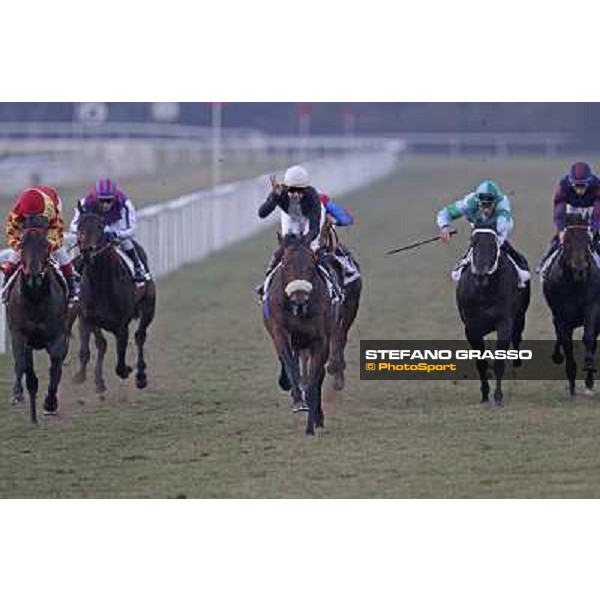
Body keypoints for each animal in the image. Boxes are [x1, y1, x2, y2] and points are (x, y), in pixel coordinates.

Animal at [4, 223, 69, 424]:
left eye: (45, 245)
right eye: (22, 244)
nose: (34, 274)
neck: (35, 299)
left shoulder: (58, 336)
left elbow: (55, 366)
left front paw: (50, 403)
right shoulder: (19, 334)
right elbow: (21, 364)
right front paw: (17, 394)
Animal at [72, 211, 156, 394]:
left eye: (100, 227)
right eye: (80, 226)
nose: (87, 251)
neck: (100, 283)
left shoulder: (121, 324)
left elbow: (120, 360)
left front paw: (127, 370)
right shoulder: (87, 317)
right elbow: (94, 346)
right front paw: (86, 377)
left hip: (148, 308)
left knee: (140, 336)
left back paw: (141, 376)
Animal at [264, 232, 336, 434]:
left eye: (311, 264)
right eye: (285, 263)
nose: (299, 299)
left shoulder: (320, 340)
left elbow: (313, 381)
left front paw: (311, 426)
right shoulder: (280, 331)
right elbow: (291, 366)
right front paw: (298, 400)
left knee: (317, 376)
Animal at [454, 227, 528, 406]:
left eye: (494, 245)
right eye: (473, 242)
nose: (481, 275)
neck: (484, 291)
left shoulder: (505, 323)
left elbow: (499, 361)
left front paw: (498, 396)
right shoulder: (472, 328)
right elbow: (481, 362)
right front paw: (485, 394)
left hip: (520, 318)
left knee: (517, 338)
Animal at [540, 218, 600, 396]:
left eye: (588, 242)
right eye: (567, 242)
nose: (580, 269)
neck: (576, 285)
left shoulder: (592, 306)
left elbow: (589, 337)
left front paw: (589, 368)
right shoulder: (561, 314)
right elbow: (566, 341)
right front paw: (572, 382)